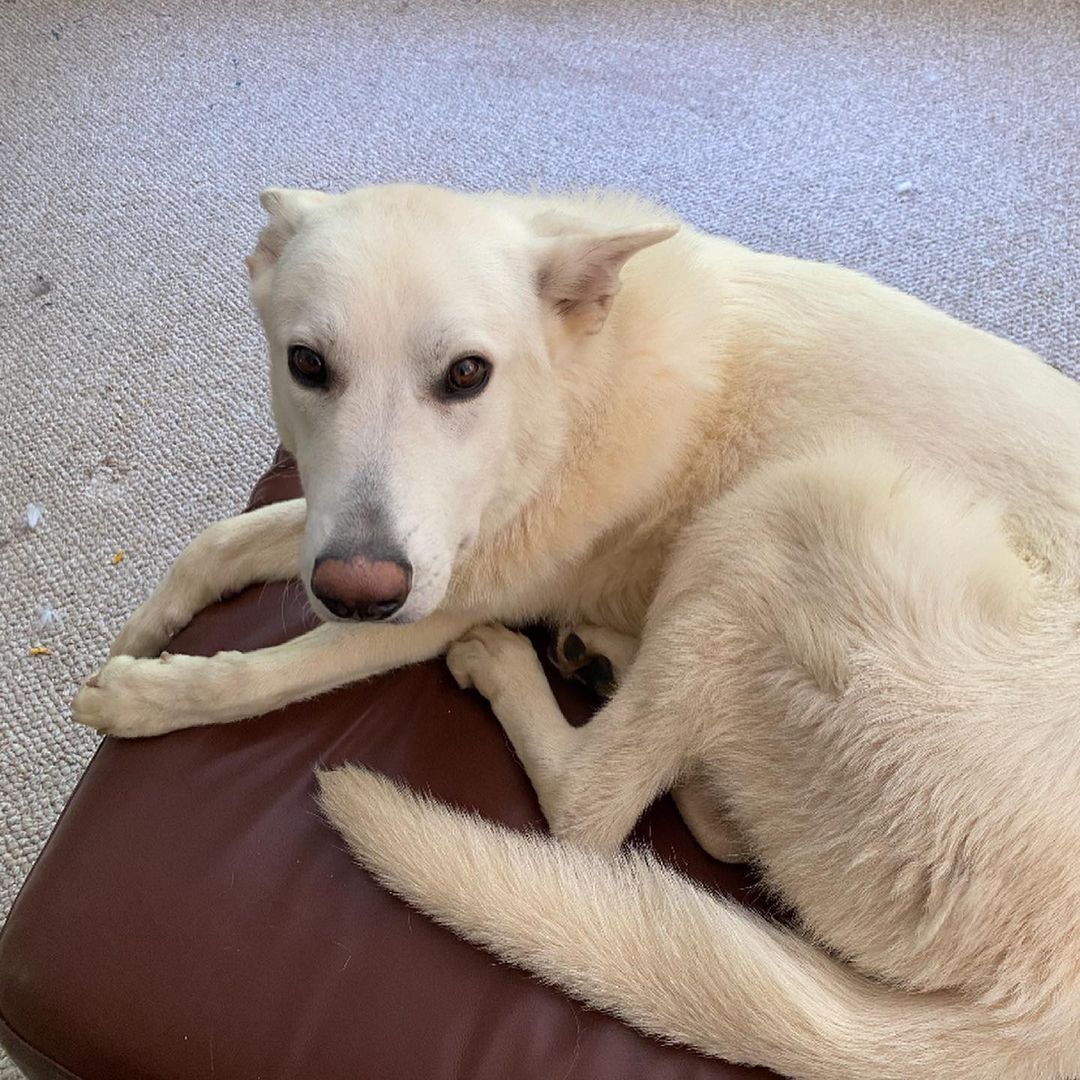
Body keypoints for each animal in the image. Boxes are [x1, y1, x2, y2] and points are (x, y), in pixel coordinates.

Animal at [71, 187, 1075, 1080]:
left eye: (467, 375)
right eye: (307, 364)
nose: (359, 593)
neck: (572, 387)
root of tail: (1042, 1012)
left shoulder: (436, 597)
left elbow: (260, 676)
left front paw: (149, 696)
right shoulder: (356, 542)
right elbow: (219, 541)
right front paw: (148, 623)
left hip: (797, 510)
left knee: (588, 811)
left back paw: (514, 667)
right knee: (712, 825)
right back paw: (618, 684)